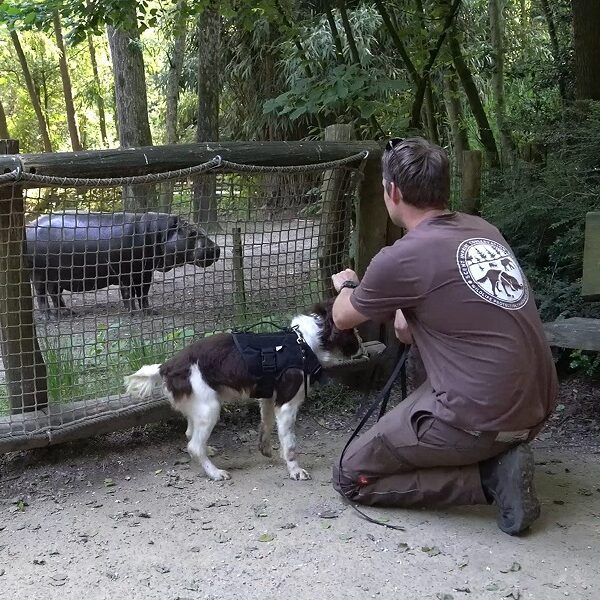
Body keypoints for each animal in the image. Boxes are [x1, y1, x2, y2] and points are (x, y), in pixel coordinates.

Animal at [125, 300, 360, 482]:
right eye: (352, 329)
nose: (359, 346)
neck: (304, 343)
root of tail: (166, 366)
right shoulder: (287, 404)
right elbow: (290, 443)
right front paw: (295, 470)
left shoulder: (268, 398)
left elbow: (266, 426)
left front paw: (266, 450)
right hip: (210, 408)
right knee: (193, 446)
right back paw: (215, 472)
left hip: (199, 407)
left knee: (190, 435)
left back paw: (208, 451)